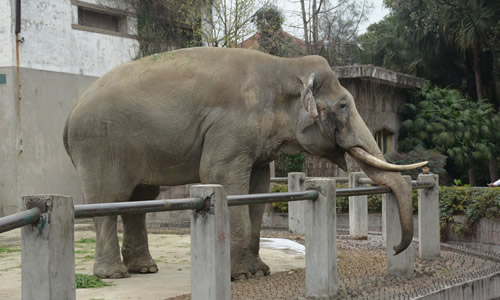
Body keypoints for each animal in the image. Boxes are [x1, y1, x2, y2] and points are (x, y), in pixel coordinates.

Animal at [64, 47, 426, 278]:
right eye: (342, 106)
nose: (395, 248)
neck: (285, 67)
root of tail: (70, 114)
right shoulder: (229, 129)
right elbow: (222, 177)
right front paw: (241, 276)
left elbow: (259, 186)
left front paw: (259, 273)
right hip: (100, 148)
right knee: (108, 200)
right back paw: (114, 275)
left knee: (139, 200)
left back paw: (145, 269)